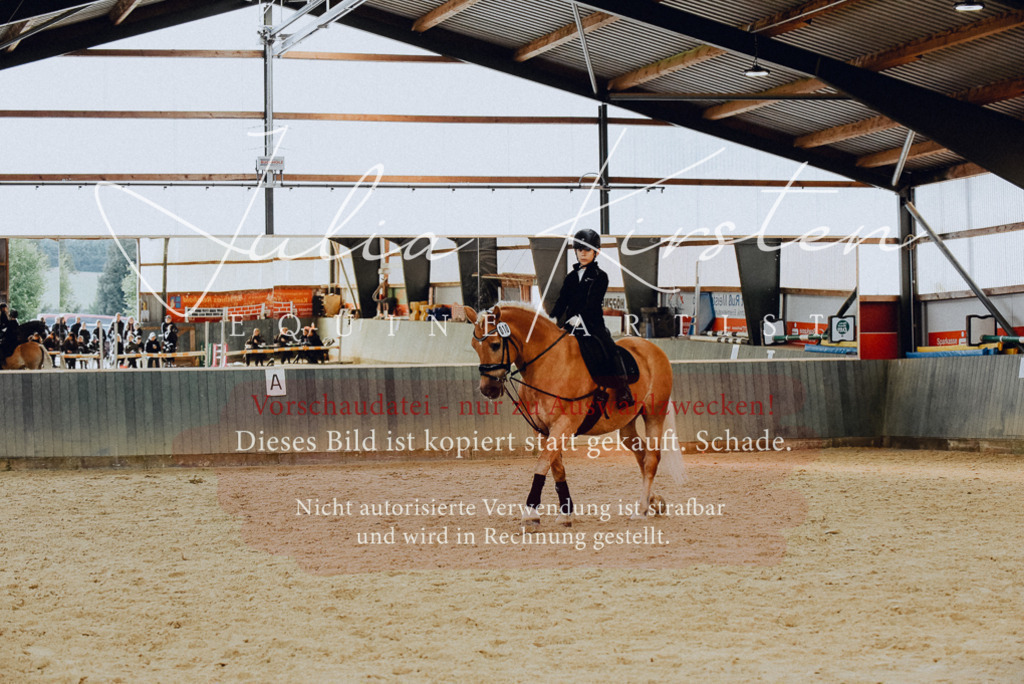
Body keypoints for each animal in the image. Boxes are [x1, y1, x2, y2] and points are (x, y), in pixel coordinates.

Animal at [466, 304, 684, 526]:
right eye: (474, 346)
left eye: (494, 345)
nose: (488, 389)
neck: (548, 364)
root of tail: (653, 349)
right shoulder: (542, 429)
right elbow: (556, 468)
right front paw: (565, 512)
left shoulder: (563, 425)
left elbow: (542, 463)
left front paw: (530, 513)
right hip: (627, 424)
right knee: (642, 455)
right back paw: (653, 502)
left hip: (653, 414)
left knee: (651, 459)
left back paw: (641, 510)